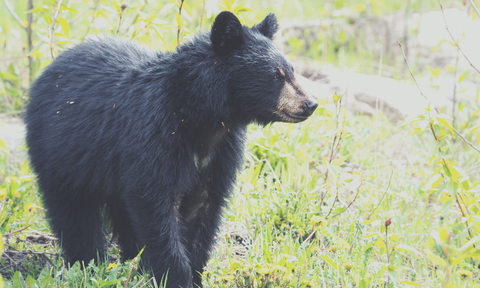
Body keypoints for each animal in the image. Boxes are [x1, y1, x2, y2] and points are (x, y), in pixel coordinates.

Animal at [26, 11, 318, 288]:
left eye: (292, 69)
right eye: (275, 75)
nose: (310, 104)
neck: (203, 119)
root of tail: (50, 68)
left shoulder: (222, 151)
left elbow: (204, 207)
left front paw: (194, 276)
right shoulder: (154, 135)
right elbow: (155, 204)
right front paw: (176, 277)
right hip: (61, 153)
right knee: (74, 214)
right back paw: (88, 262)